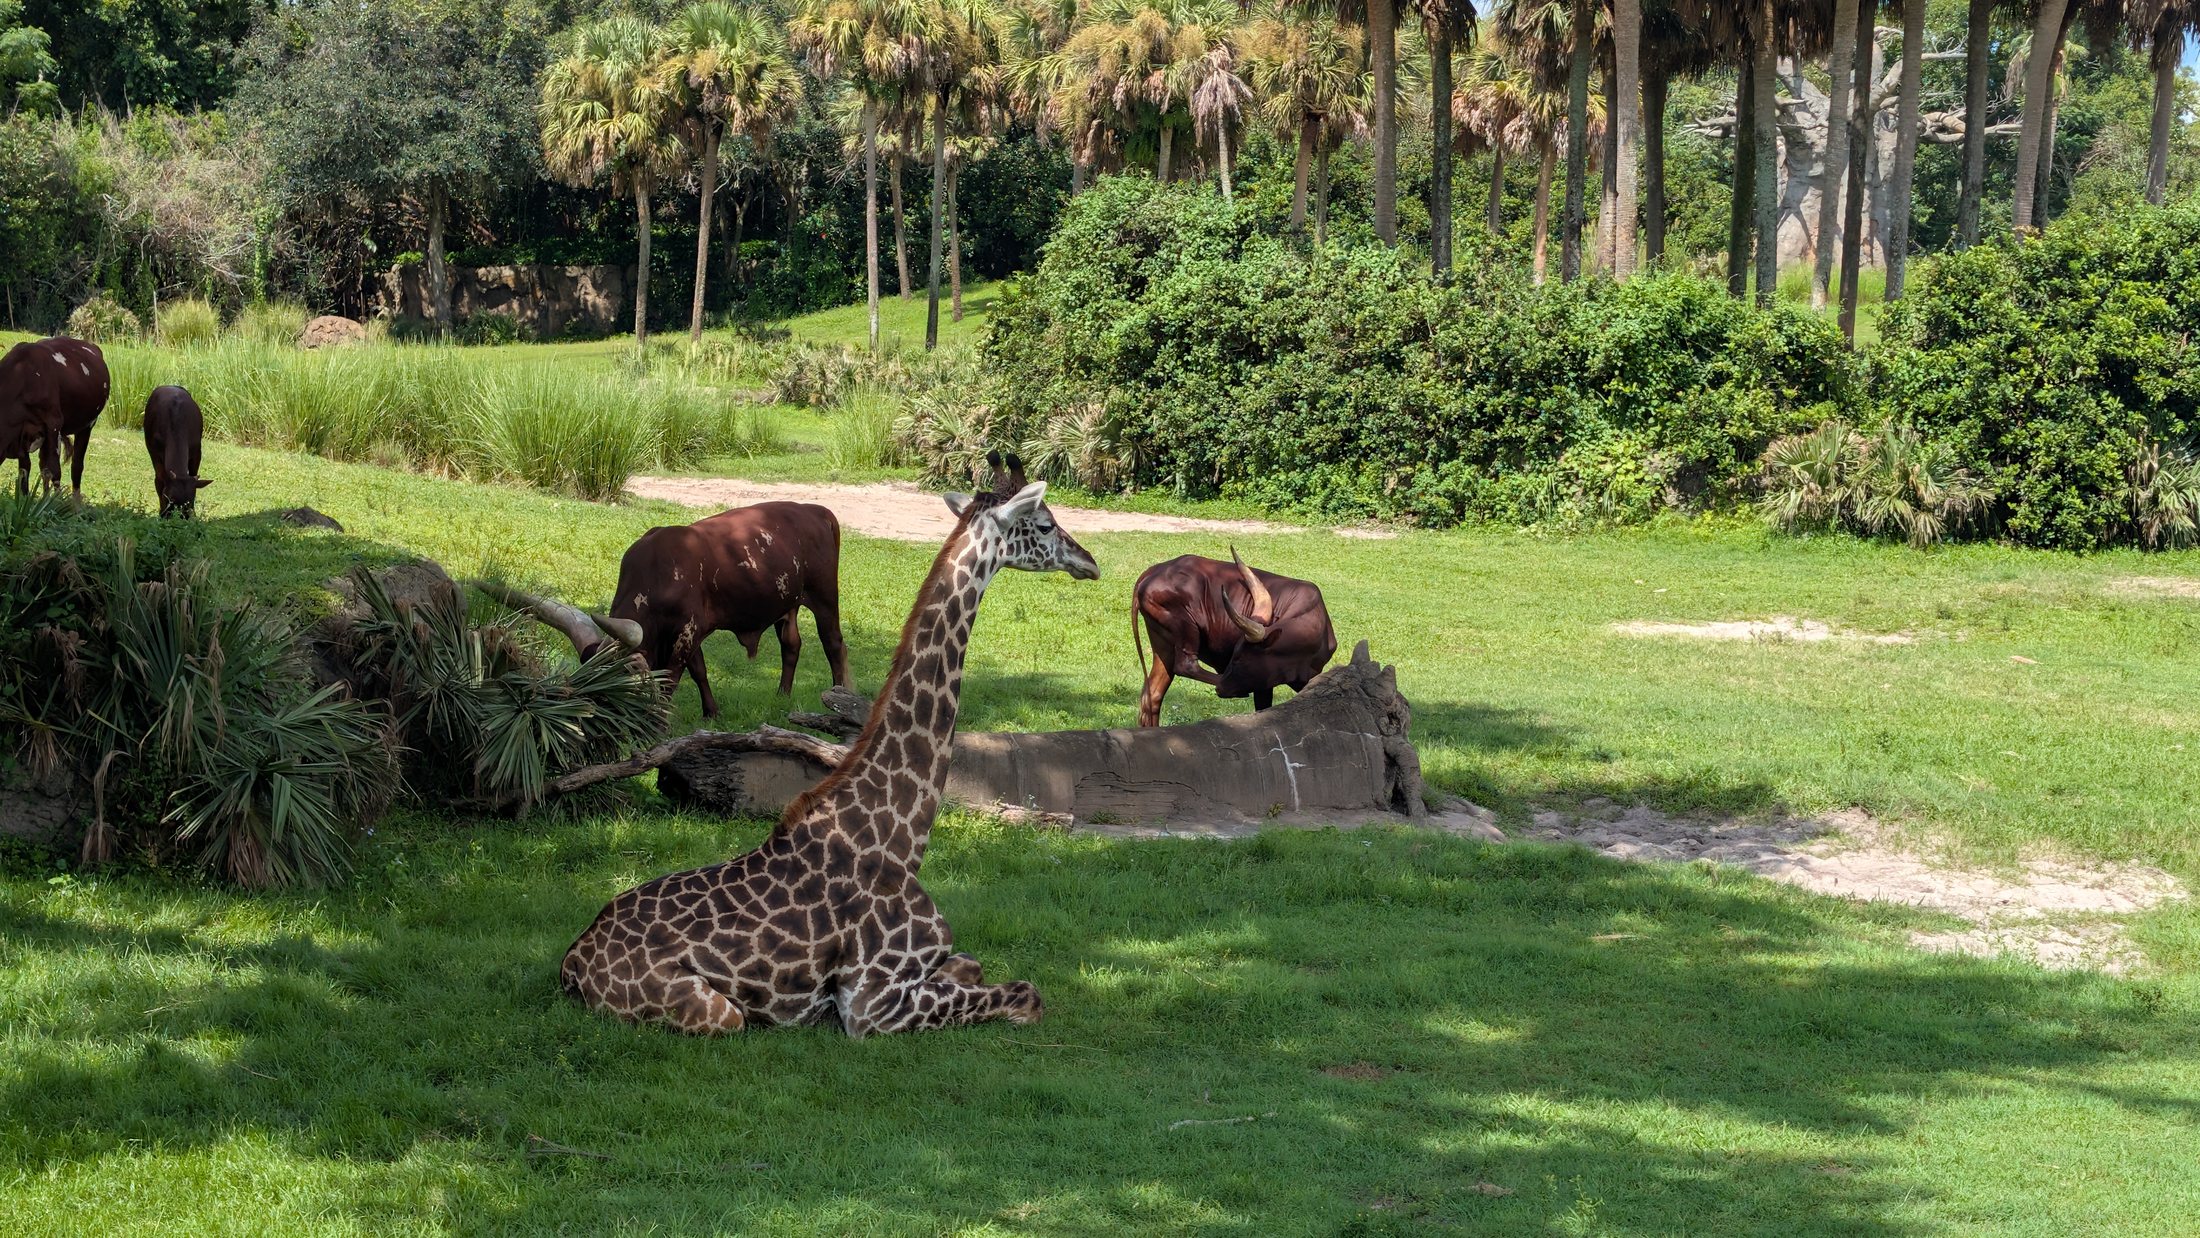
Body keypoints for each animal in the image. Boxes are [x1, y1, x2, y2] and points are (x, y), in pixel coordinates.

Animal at [561, 454, 1099, 1038]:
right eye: (1044, 523)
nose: (1090, 562)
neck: (901, 838)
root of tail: (573, 962)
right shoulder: (870, 1004)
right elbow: (1028, 994)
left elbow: (973, 963)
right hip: (720, 1014)